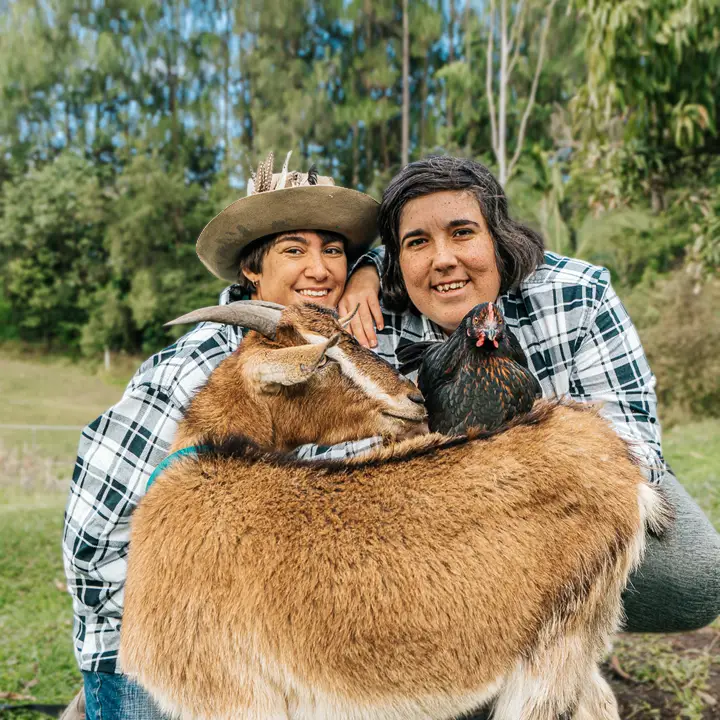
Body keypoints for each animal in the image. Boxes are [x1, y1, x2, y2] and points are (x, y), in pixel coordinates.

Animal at [119, 300, 668, 720]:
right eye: (325, 359)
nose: (414, 398)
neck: (203, 465)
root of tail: (610, 452)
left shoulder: (228, 696)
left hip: (553, 650)